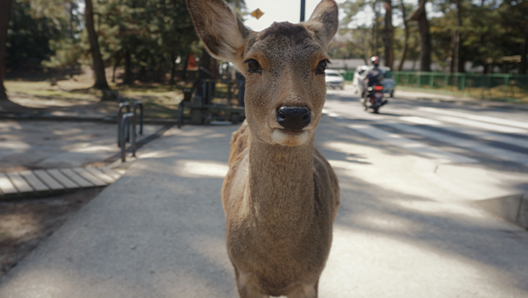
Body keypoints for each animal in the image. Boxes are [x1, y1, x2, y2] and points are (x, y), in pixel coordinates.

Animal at [186, 1, 340, 296]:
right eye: (252, 63)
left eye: (323, 64)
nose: (293, 113)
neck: (276, 260)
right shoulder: (242, 272)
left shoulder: (311, 277)